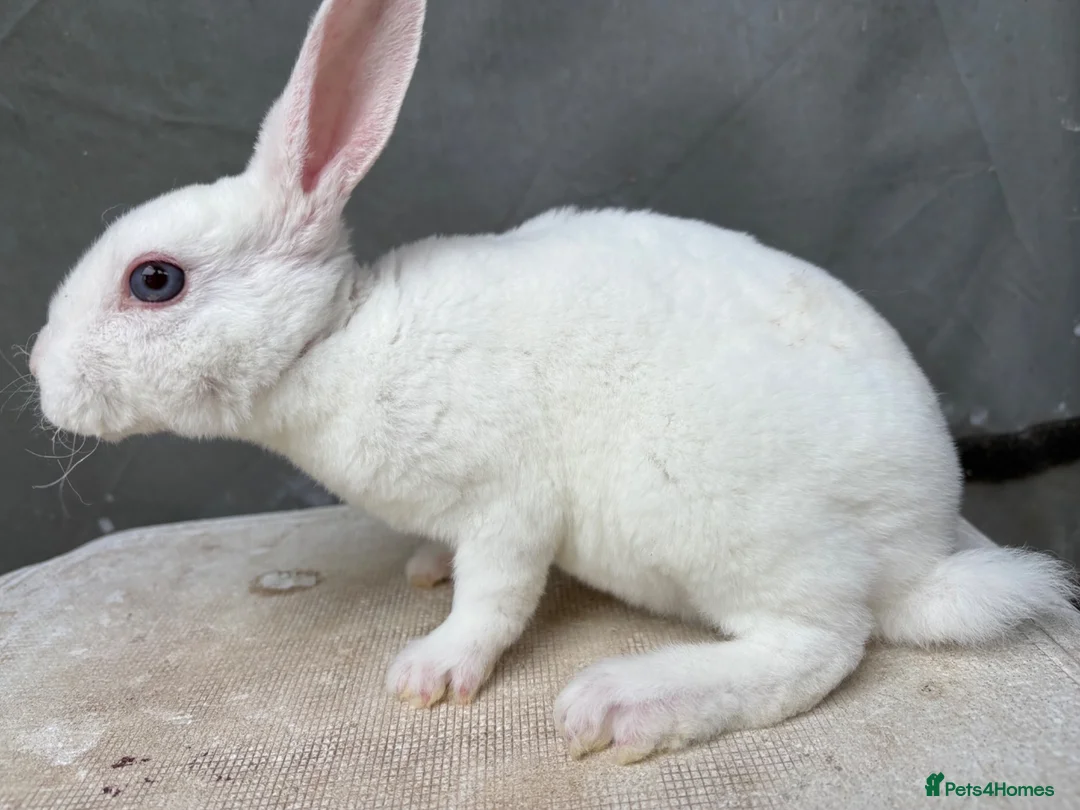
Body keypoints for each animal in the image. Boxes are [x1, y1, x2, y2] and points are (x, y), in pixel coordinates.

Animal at [29, 0, 1077, 765]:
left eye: (154, 281)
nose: (39, 374)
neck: (334, 336)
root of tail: (923, 554)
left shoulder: (509, 502)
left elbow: (493, 600)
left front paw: (430, 672)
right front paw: (425, 566)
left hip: (729, 529)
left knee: (821, 647)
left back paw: (629, 704)